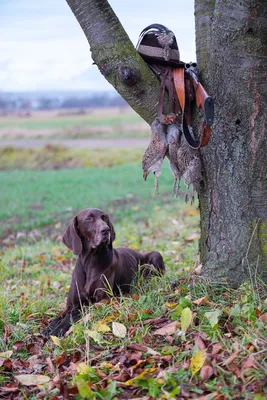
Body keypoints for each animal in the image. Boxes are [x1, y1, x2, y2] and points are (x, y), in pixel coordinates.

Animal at [43, 208, 165, 336]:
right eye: (89, 218)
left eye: (104, 217)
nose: (106, 230)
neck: (90, 262)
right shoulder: (71, 304)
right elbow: (60, 316)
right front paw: (50, 327)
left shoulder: (101, 300)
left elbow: (74, 313)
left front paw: (59, 328)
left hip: (156, 255)